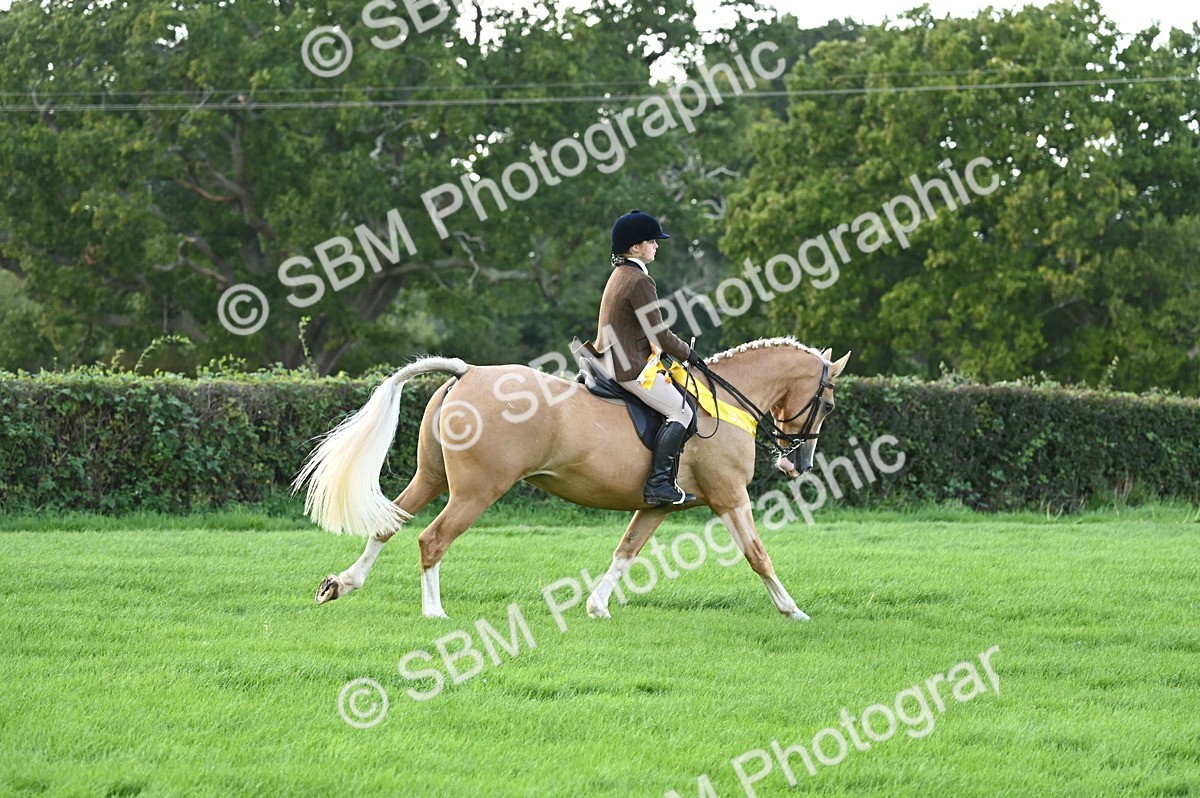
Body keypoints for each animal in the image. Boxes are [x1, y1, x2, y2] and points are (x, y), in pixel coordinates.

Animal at [294, 336, 850, 621]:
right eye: (827, 404)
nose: (797, 464)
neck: (725, 403)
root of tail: (466, 371)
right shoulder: (729, 496)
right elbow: (758, 554)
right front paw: (792, 610)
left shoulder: (656, 505)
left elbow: (625, 551)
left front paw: (597, 606)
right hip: (476, 491)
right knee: (432, 539)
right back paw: (434, 613)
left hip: (431, 479)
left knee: (388, 524)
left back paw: (340, 584)